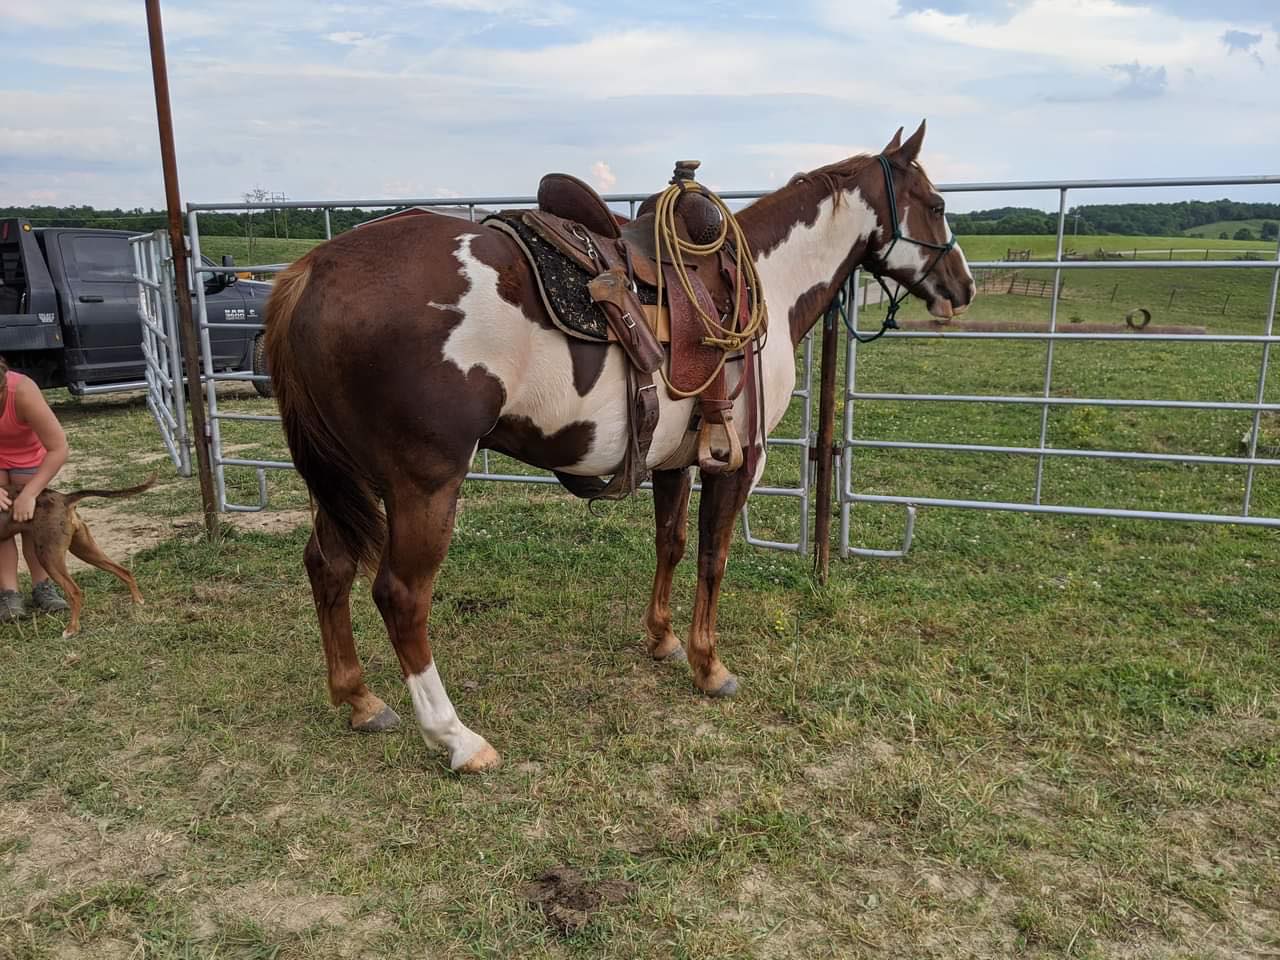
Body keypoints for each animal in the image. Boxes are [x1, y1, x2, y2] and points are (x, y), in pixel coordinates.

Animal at [264, 121, 975, 774]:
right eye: (938, 205)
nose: (963, 288)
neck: (765, 281)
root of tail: (315, 269)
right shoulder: (739, 461)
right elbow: (713, 558)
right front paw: (709, 666)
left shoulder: (676, 459)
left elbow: (672, 542)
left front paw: (662, 640)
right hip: (424, 483)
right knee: (401, 595)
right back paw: (456, 737)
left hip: (339, 477)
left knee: (328, 566)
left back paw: (359, 700)